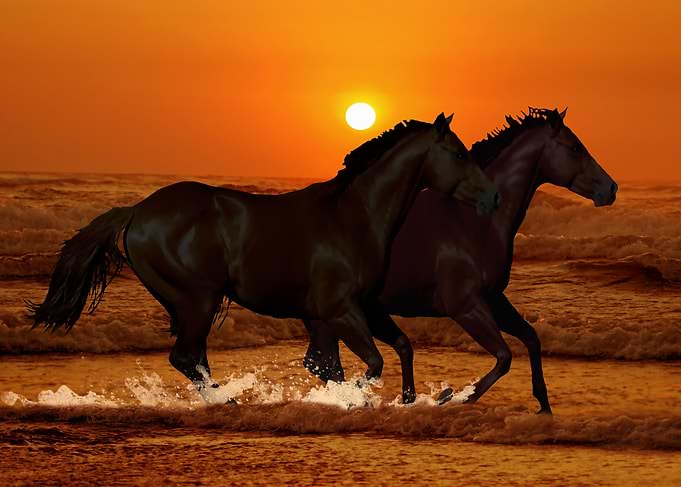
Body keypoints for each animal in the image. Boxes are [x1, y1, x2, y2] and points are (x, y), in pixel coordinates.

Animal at [27, 112, 500, 402]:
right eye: (460, 154)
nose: (493, 197)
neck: (356, 216)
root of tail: (138, 210)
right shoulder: (341, 310)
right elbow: (368, 364)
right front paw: (352, 402)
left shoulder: (355, 309)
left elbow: (389, 351)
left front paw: (415, 400)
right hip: (198, 299)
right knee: (186, 358)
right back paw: (229, 402)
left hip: (193, 305)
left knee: (195, 359)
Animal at [304, 108, 618, 412]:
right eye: (576, 148)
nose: (611, 188)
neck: (473, 221)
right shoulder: (466, 307)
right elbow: (504, 356)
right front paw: (453, 397)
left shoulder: (493, 299)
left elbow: (531, 338)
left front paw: (543, 405)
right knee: (326, 363)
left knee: (323, 363)